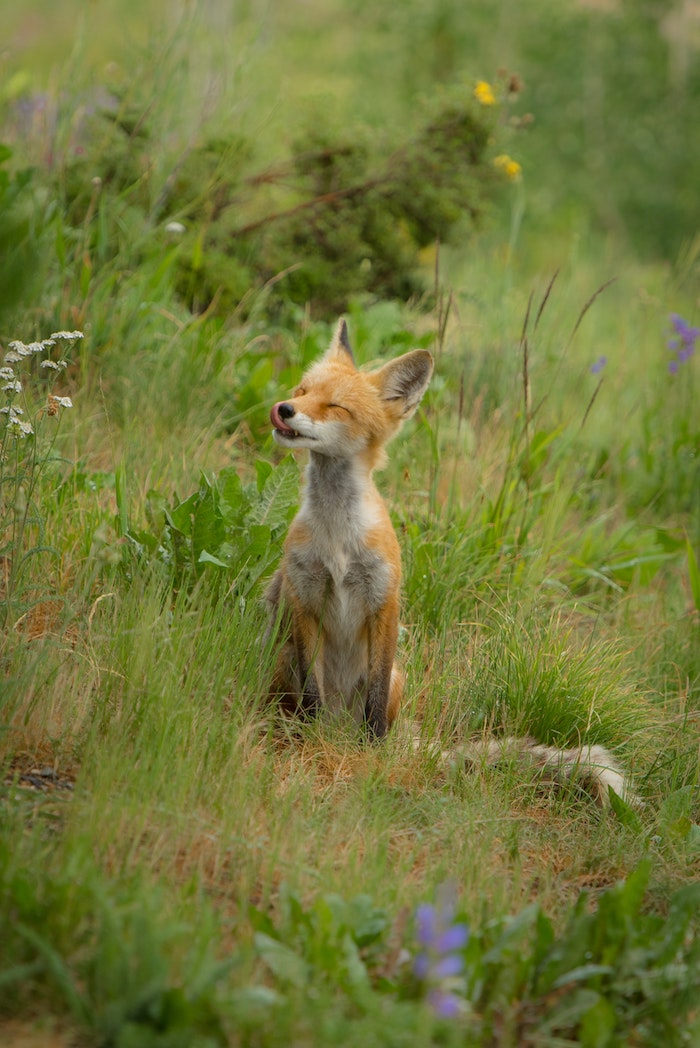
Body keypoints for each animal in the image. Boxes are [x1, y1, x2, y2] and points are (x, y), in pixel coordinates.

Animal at [265, 318, 637, 809]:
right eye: (303, 389)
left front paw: (373, 758)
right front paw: (312, 745)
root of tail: (340, 725)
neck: (338, 540)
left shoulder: (384, 602)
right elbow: (311, 696)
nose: (284, 409)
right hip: (284, 658)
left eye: (335, 406)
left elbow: (375, 707)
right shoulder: (304, 597)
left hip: (397, 678)